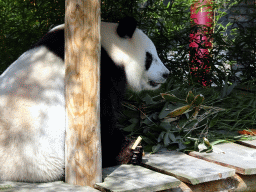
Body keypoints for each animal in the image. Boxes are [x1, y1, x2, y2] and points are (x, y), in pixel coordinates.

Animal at [0, 16, 170, 182]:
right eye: (149, 57)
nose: (166, 74)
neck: (107, 45)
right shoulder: (100, 73)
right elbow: (103, 119)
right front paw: (128, 149)